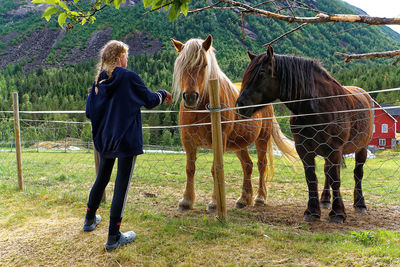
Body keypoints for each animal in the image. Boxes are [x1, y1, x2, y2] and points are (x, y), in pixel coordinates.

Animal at [170, 35, 298, 213]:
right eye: (181, 65)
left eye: (204, 65)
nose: (190, 97)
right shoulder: (188, 141)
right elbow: (190, 169)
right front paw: (186, 201)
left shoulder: (219, 140)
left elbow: (215, 169)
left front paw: (214, 203)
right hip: (239, 143)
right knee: (247, 165)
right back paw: (244, 199)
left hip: (262, 139)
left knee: (261, 165)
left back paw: (260, 198)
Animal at [236, 46, 374, 224]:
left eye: (261, 73)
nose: (240, 105)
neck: (318, 107)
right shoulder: (305, 150)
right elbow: (312, 179)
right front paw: (312, 211)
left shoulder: (334, 150)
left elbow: (336, 180)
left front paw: (338, 213)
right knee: (327, 173)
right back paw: (325, 201)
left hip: (361, 148)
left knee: (357, 174)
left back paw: (360, 204)